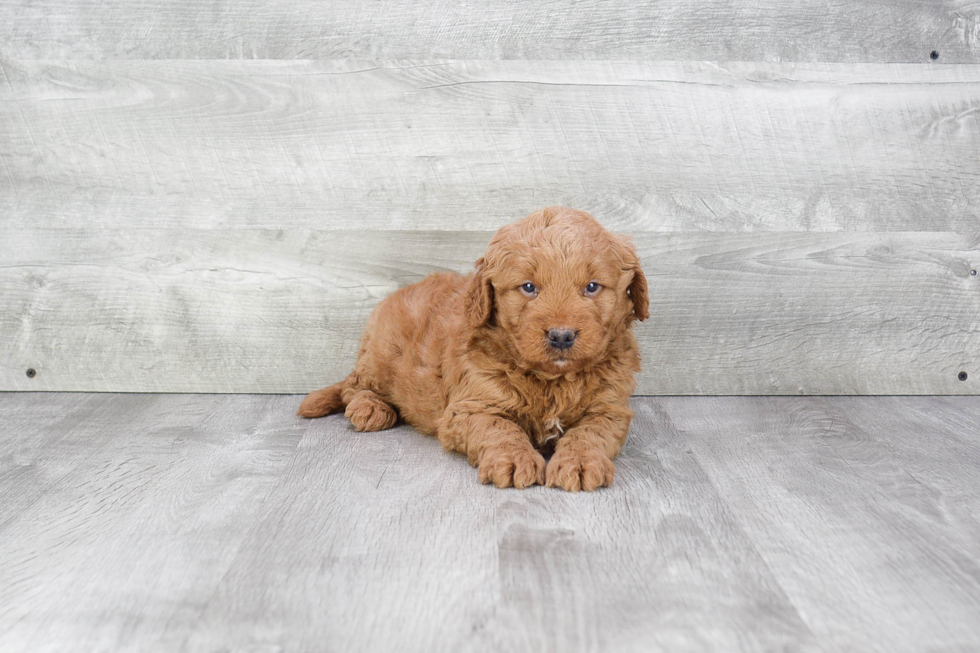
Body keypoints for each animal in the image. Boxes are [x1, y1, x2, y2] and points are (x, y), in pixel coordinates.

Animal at [298, 206, 652, 492]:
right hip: (381, 353)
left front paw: (579, 462)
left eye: (592, 287)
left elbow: (590, 433)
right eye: (528, 287)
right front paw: (513, 459)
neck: (551, 381)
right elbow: (500, 427)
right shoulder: (472, 406)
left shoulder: (609, 408)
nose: (561, 336)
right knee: (354, 385)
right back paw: (370, 408)